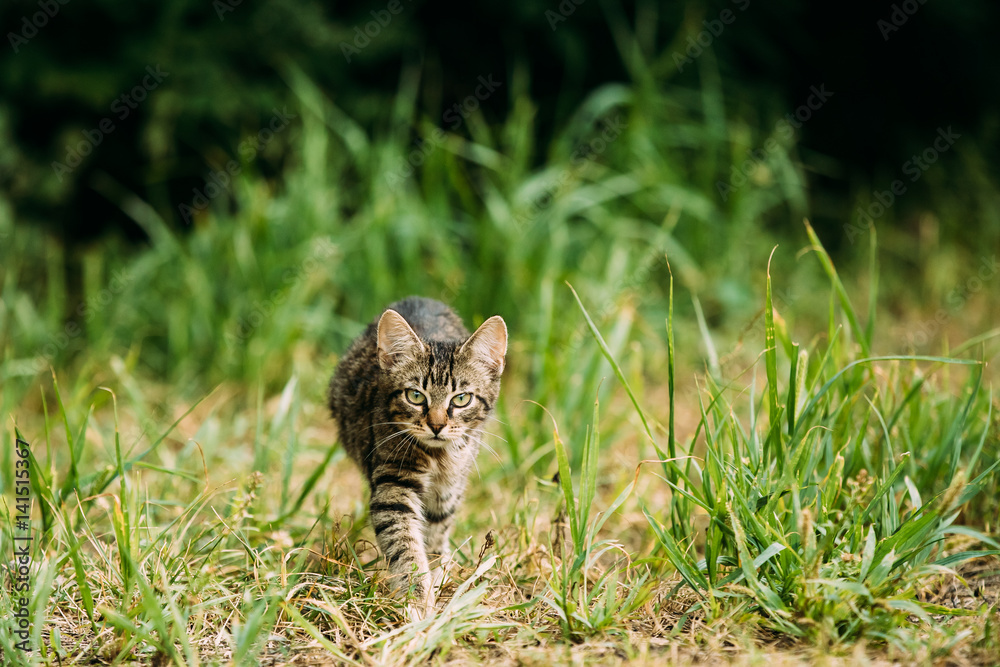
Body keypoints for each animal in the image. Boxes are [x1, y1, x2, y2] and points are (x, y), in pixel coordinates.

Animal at [330, 296, 508, 616]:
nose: (436, 425)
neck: (438, 457)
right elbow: (404, 543)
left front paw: (435, 573)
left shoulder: (450, 486)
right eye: (415, 396)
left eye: (461, 399)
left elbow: (437, 528)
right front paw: (416, 597)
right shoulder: (393, 485)